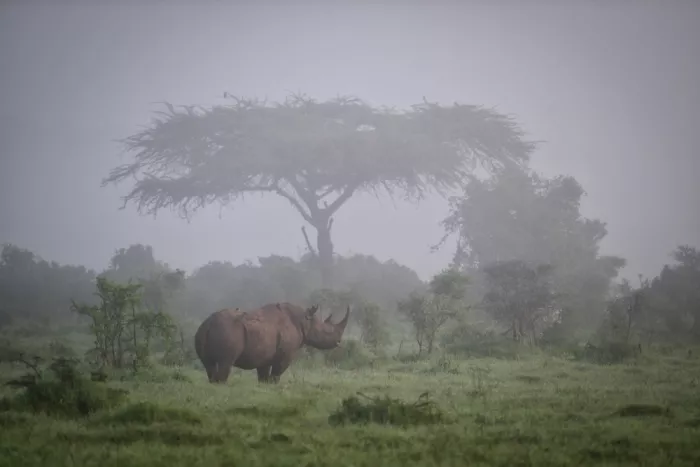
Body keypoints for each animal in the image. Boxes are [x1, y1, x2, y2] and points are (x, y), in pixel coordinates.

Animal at [194, 302, 350, 384]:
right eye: (327, 331)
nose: (338, 342)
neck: (304, 321)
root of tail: (208, 323)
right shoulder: (285, 355)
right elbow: (276, 374)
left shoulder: (263, 355)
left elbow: (263, 376)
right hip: (228, 331)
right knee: (225, 363)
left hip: (202, 332)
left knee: (209, 366)